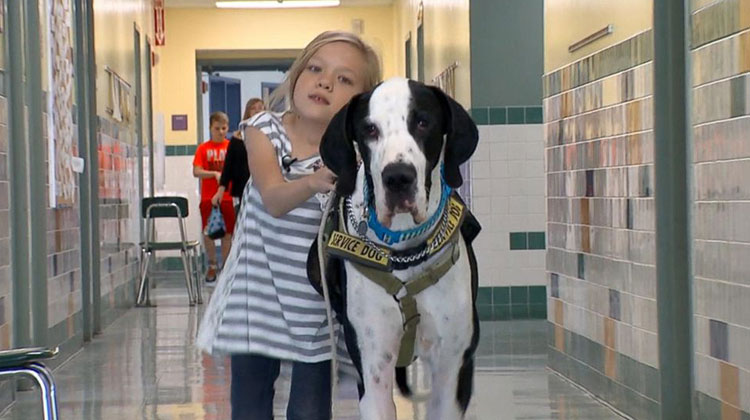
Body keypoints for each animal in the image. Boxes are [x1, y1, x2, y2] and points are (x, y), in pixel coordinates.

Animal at [310, 77, 482, 418]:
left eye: (423, 122)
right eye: (369, 129)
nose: (398, 177)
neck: (405, 252)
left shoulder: (454, 367)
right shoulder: (373, 366)